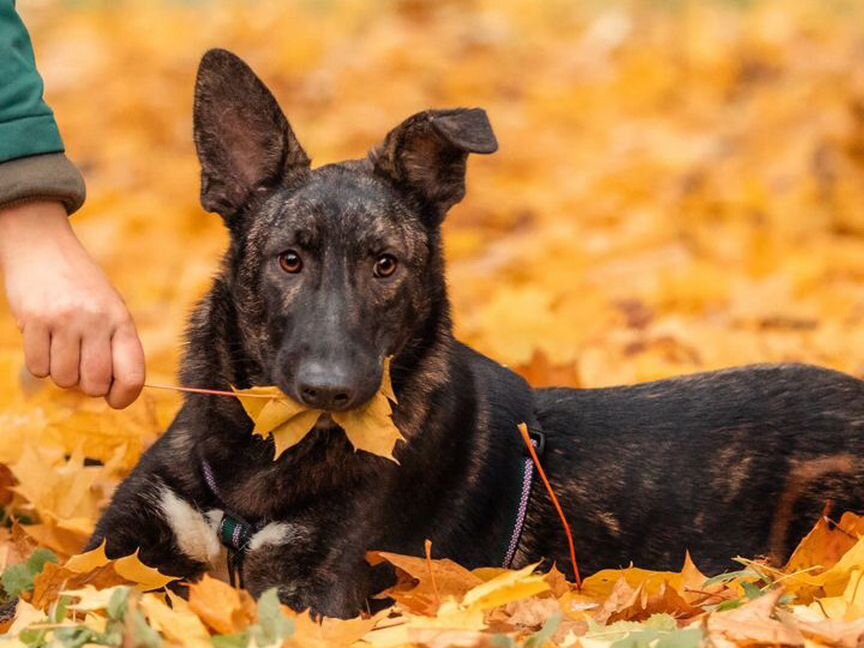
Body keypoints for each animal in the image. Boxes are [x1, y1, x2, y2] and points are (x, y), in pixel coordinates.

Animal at [89, 50, 864, 616]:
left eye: (385, 264)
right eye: (289, 260)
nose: (330, 390)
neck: (261, 462)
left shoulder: (316, 591)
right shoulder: (116, 548)